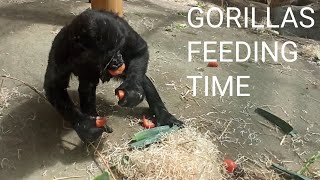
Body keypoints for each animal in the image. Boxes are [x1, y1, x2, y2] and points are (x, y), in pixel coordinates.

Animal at [43, 9, 182, 142]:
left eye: (117, 50)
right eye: (109, 56)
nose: (118, 60)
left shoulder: (124, 31)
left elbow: (139, 50)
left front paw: (132, 92)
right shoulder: (61, 49)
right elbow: (55, 86)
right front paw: (86, 125)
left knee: (141, 78)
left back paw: (164, 117)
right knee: (86, 87)